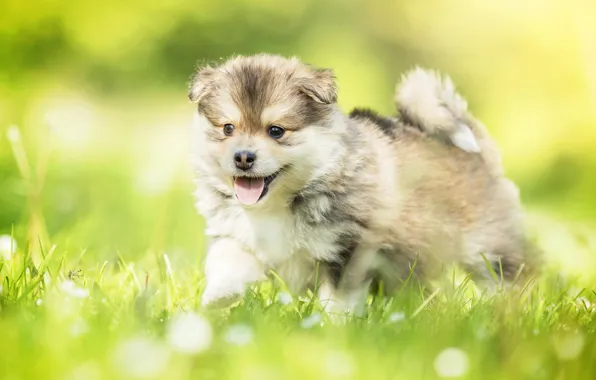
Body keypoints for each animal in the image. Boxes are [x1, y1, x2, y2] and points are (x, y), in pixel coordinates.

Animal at [189, 54, 536, 314]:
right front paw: (218, 297)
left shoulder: (347, 248)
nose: (243, 157)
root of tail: (476, 149)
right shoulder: (237, 233)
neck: (277, 204)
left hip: (486, 244)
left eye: (276, 131)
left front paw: (331, 328)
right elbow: (228, 260)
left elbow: (338, 300)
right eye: (228, 128)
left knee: (511, 274)